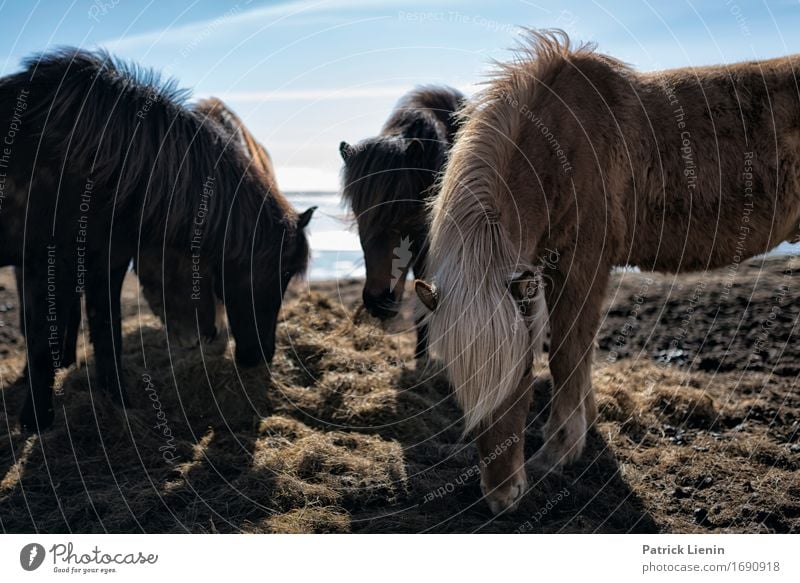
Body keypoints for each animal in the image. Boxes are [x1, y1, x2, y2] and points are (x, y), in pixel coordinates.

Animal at [0, 50, 314, 432]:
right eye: (282, 274)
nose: (260, 355)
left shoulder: (107, 262)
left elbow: (107, 332)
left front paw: (118, 403)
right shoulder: (45, 261)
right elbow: (43, 341)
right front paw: (37, 423)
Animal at [416, 30, 800, 516]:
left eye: (523, 375)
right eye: (457, 380)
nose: (502, 497)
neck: (560, 143)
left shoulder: (584, 264)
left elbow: (567, 353)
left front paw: (558, 452)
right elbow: (581, 352)